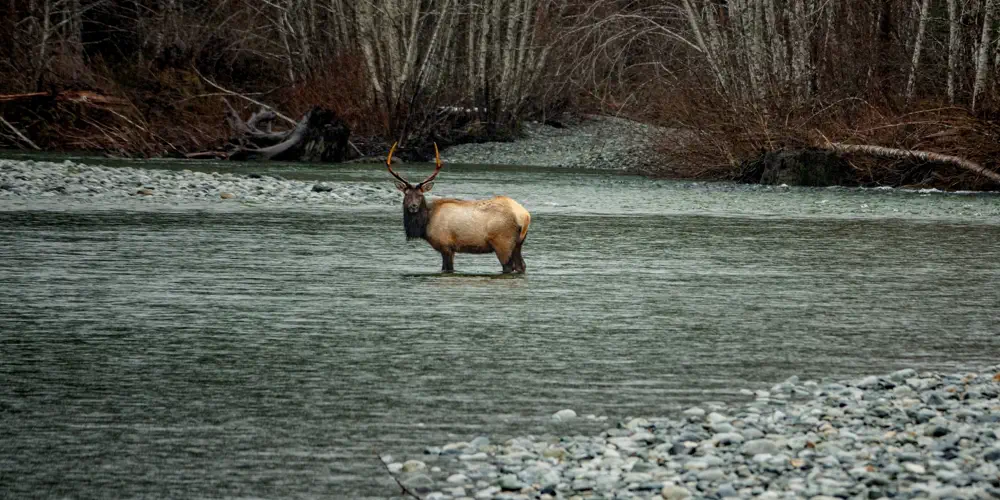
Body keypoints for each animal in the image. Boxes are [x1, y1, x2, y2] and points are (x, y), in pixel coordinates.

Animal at [386, 142, 531, 274]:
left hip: (503, 242)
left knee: (508, 267)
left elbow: (448, 269)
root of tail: (525, 216)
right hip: (518, 244)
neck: (426, 223)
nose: (413, 207)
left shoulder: (446, 246)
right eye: (406, 194)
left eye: (420, 195)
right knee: (521, 266)